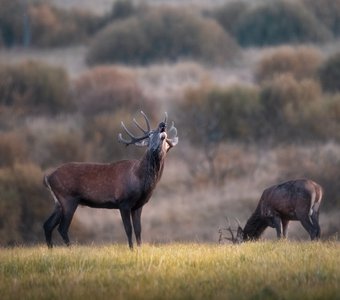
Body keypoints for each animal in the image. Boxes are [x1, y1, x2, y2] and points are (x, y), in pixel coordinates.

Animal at [42, 112, 178, 248]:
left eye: (163, 137)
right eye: (150, 137)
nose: (162, 125)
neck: (140, 180)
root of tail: (48, 177)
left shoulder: (138, 205)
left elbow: (138, 230)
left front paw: (139, 248)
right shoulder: (123, 202)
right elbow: (128, 229)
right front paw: (131, 249)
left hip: (59, 203)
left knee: (47, 225)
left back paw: (51, 249)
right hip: (68, 198)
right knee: (62, 228)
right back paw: (70, 249)